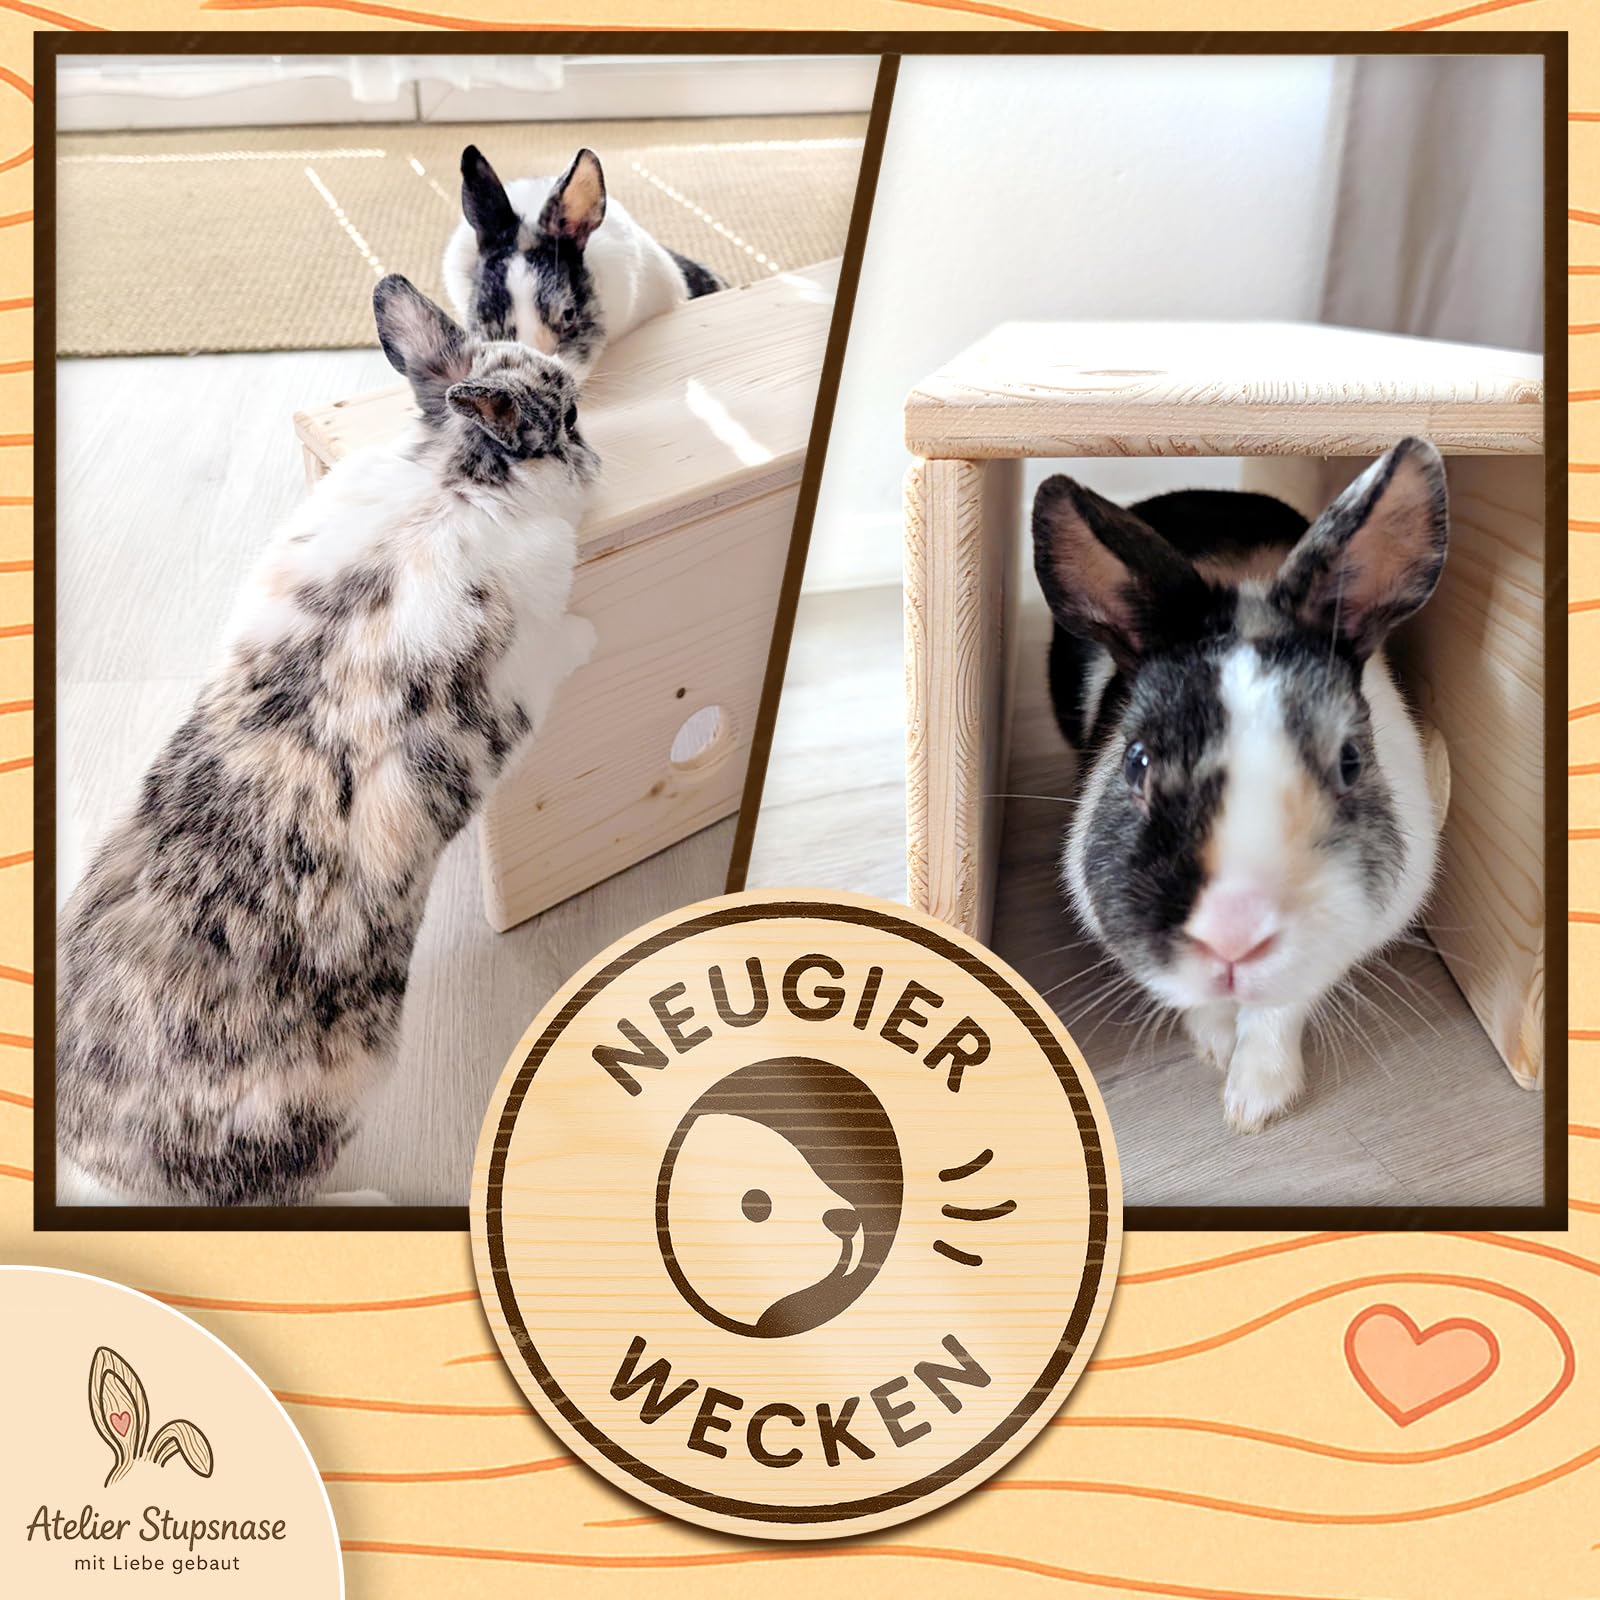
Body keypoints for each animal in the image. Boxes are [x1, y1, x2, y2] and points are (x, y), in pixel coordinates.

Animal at [55, 275, 599, 1206]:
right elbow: (563, 645)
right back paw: (369, 1199)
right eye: (563, 420)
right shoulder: (528, 657)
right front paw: (595, 636)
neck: (454, 479)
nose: (592, 445)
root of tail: (101, 1162)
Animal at [1032, 437, 1449, 1133]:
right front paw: (1214, 1045)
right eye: (1137, 761)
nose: (1233, 935)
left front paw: (1254, 1101)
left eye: (1350, 761)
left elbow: (1278, 1010)